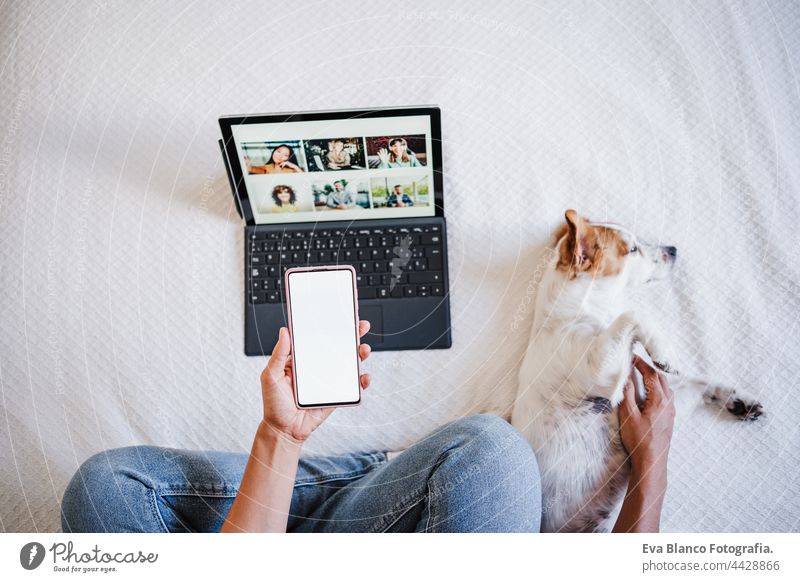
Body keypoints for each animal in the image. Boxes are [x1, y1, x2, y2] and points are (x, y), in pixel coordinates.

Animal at [512, 210, 764, 532]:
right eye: (632, 249)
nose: (673, 249)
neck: (580, 312)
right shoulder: (600, 371)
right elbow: (634, 314)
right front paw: (663, 349)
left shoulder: (659, 395)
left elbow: (700, 381)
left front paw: (737, 398)